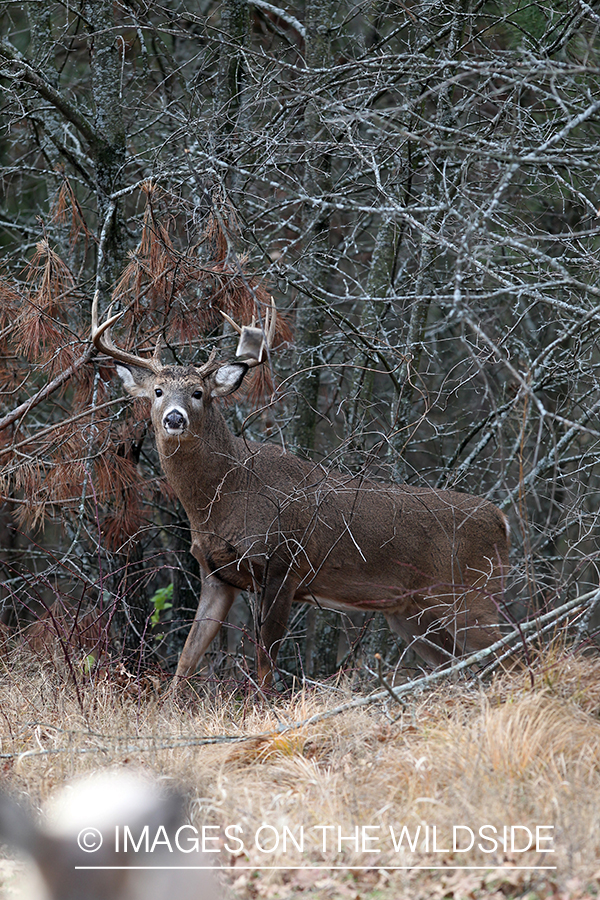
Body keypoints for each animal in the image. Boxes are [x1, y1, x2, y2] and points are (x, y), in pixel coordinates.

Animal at [91, 292, 508, 684]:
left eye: (198, 393)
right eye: (158, 391)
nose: (174, 419)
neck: (222, 498)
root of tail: (501, 520)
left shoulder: (282, 564)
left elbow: (264, 662)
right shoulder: (215, 575)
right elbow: (186, 660)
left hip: (471, 592)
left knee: (509, 653)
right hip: (411, 611)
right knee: (459, 663)